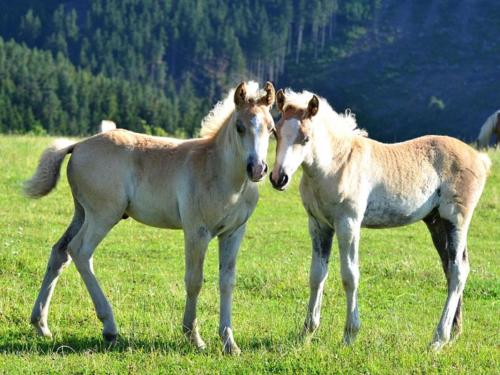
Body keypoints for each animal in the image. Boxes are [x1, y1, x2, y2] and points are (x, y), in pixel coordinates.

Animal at [25, 81, 276, 354]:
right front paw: (194, 336)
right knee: (79, 251)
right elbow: (194, 281)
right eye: (240, 127)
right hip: (103, 214)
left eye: (271, 128)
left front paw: (230, 342)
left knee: (60, 252)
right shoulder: (196, 231)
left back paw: (41, 324)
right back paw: (109, 326)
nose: (257, 169)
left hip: (82, 212)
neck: (220, 172)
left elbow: (227, 281)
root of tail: (78, 145)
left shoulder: (233, 232)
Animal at [272, 89, 490, 352]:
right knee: (450, 268)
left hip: (455, 219)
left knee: (459, 271)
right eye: (275, 132)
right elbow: (316, 275)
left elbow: (349, 276)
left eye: (305, 138)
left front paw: (350, 334)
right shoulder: (318, 225)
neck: (336, 164)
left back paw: (438, 339)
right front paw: (306, 332)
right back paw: (455, 332)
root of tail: (479, 158)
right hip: (436, 222)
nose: (279, 178)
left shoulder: (348, 223)